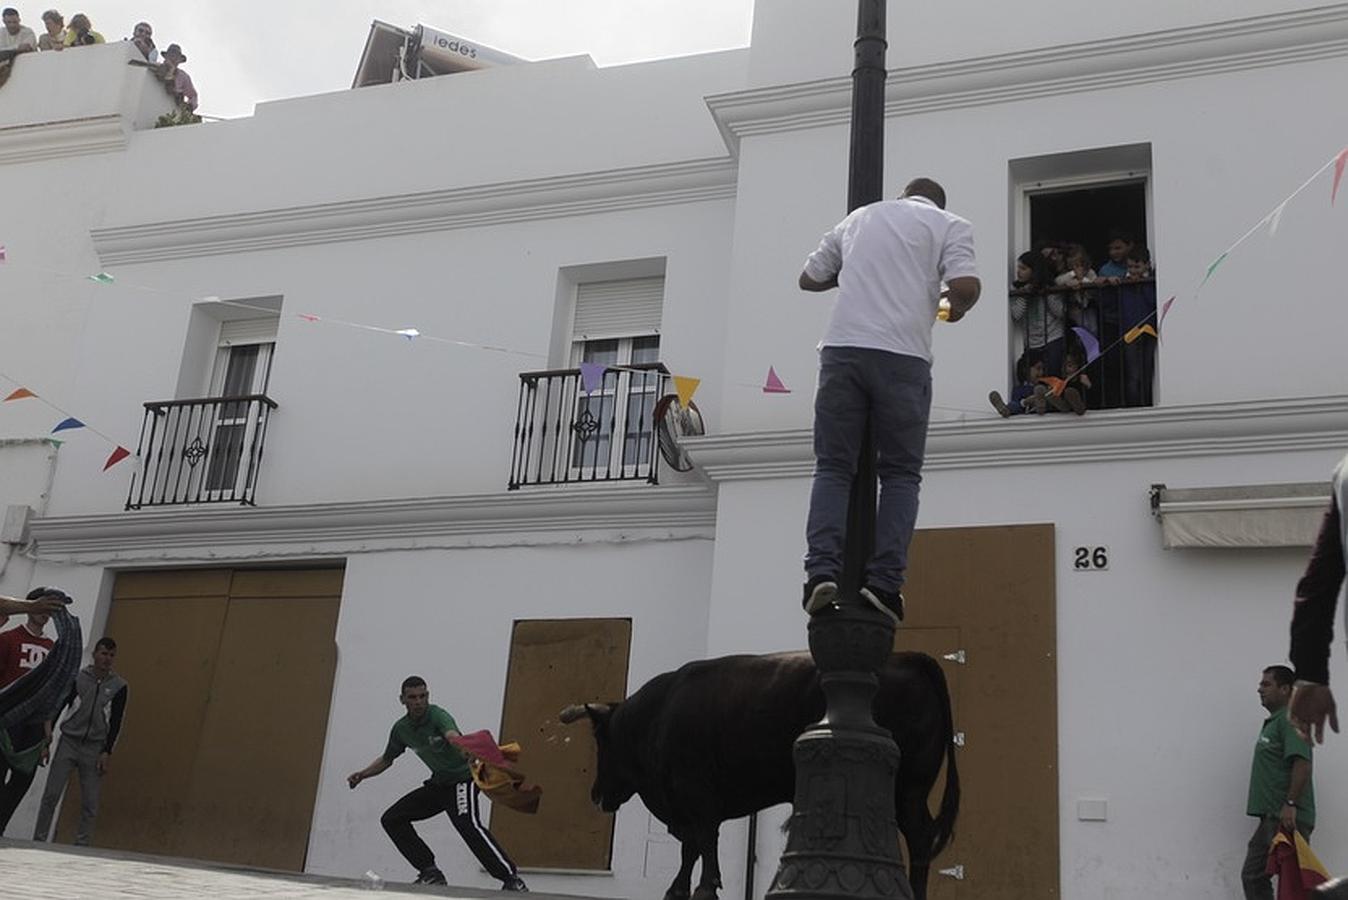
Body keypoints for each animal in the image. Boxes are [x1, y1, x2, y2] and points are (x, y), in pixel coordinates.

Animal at [558, 649, 959, 900]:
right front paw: (678, 888)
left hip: (906, 789)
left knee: (920, 837)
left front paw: (704, 886)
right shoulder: (690, 802)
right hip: (911, 791)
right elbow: (691, 847)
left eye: (601, 741)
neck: (658, 715)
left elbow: (703, 840)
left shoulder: (695, 792)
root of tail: (909, 658)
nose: (595, 794)